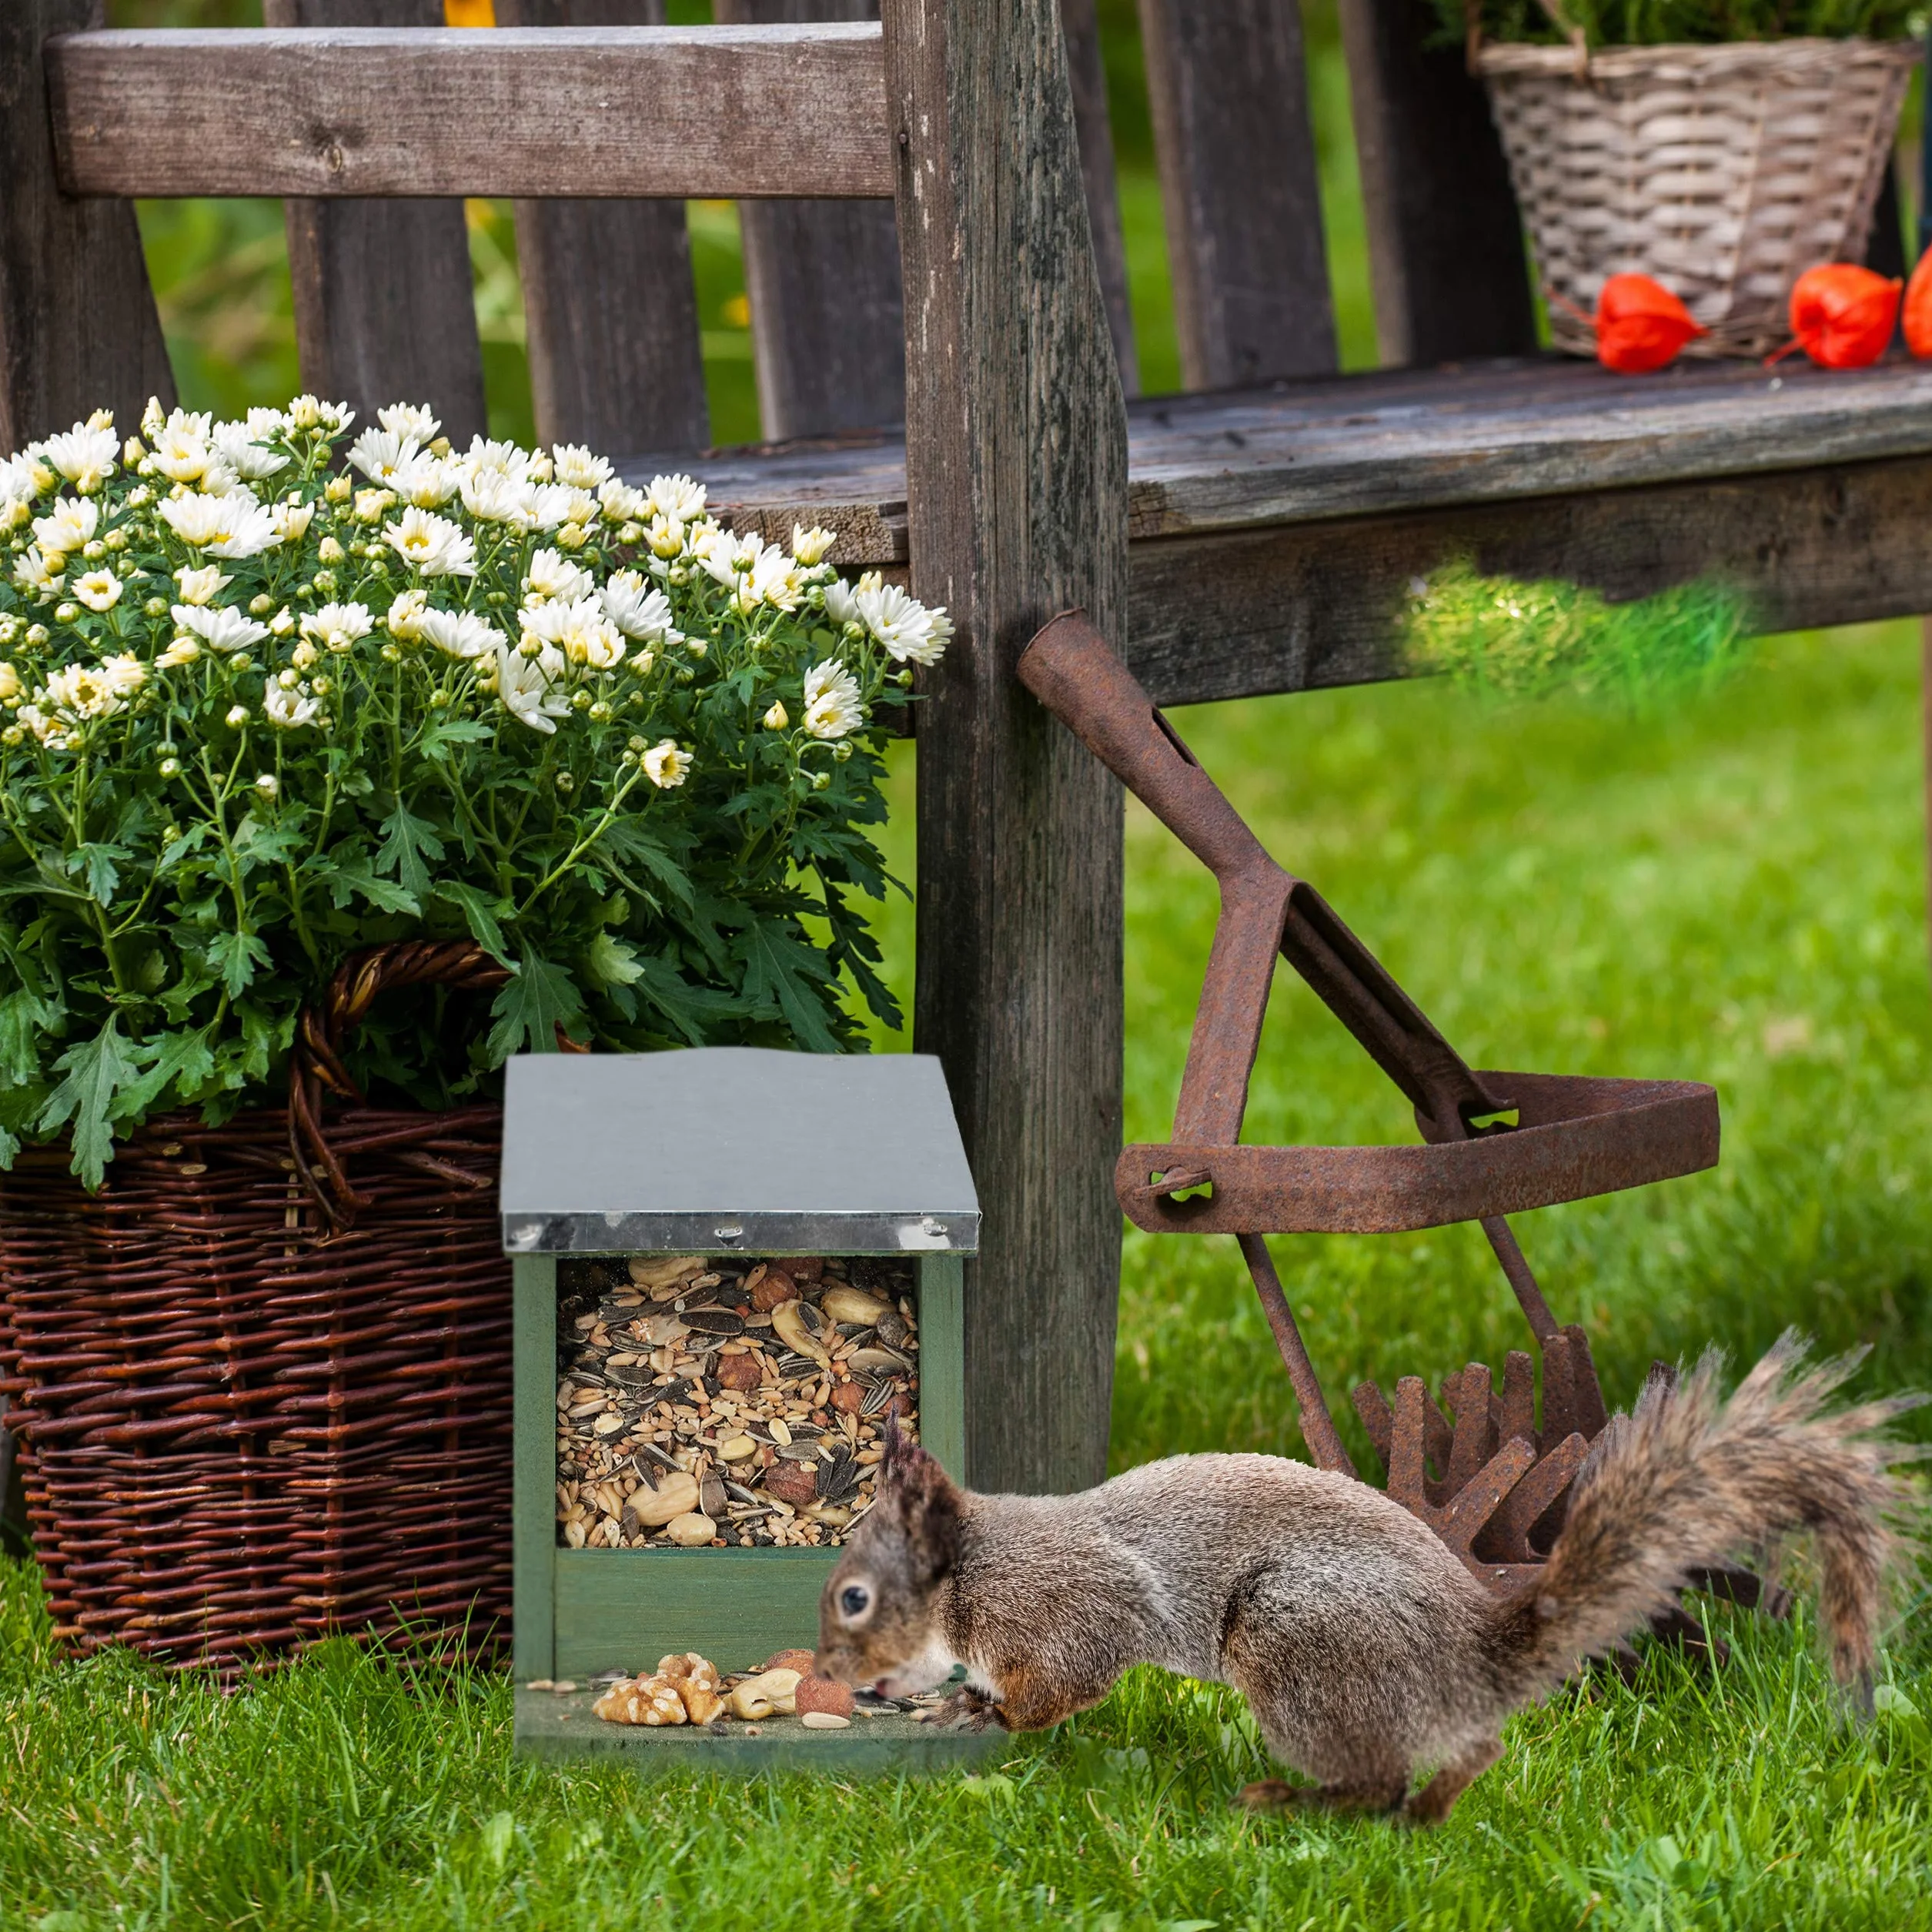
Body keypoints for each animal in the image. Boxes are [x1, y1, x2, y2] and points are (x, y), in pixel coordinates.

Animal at [816, 1334, 1922, 1824]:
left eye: (853, 1596)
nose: (830, 1676)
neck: (974, 1567)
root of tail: (1474, 1655)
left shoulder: (1068, 1604)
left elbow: (1064, 1679)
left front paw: (989, 1711)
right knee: (1469, 1749)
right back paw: (1432, 1808)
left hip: (1295, 1641)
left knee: (1378, 1769)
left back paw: (1303, 1801)